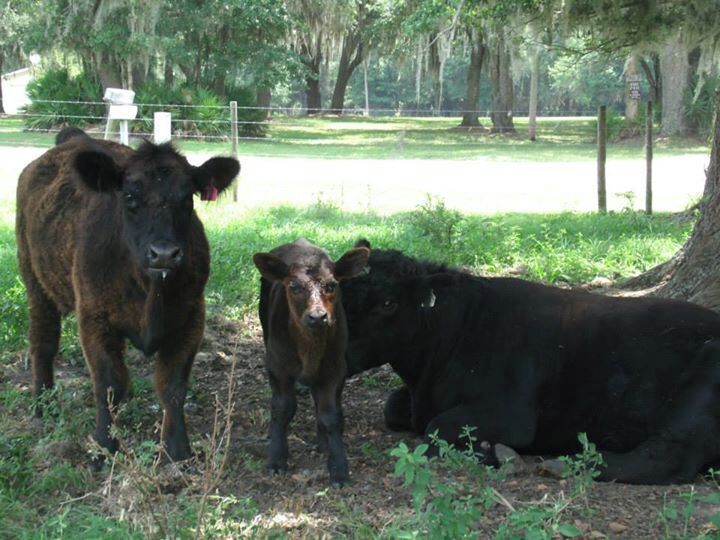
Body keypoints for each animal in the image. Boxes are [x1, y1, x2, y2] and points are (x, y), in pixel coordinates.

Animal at [16, 127, 239, 463]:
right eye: (130, 196)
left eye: (187, 198)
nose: (164, 253)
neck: (150, 290)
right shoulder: (93, 318)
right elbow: (109, 384)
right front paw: (104, 447)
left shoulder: (191, 318)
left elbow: (172, 385)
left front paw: (178, 450)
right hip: (35, 282)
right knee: (43, 343)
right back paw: (43, 405)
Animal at [253, 239, 369, 486]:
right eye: (294, 286)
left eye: (332, 285)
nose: (318, 317)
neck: (310, 351)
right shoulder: (277, 366)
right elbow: (282, 408)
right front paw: (276, 459)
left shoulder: (336, 369)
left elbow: (331, 415)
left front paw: (338, 468)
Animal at [340, 240, 720, 485]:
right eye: (338, 292)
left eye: (388, 302)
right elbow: (392, 407)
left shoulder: (510, 413)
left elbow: (436, 428)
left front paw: (492, 452)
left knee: (667, 458)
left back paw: (563, 463)